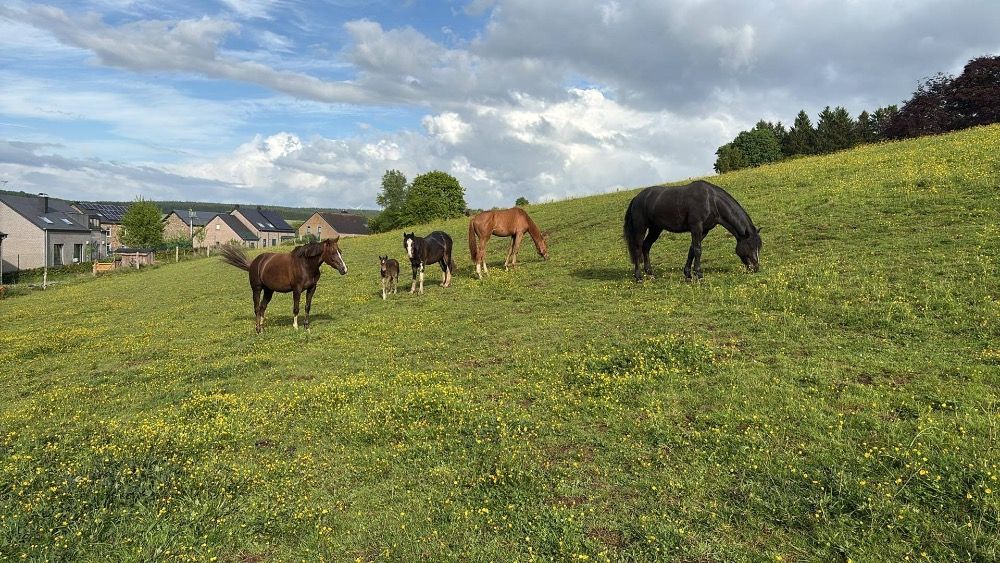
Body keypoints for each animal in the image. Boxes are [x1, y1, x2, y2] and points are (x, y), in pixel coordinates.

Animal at [219, 238, 347, 333]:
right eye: (332, 252)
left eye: (340, 251)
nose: (344, 269)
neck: (305, 264)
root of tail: (254, 263)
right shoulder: (297, 289)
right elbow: (296, 308)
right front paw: (295, 326)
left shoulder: (312, 288)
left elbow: (307, 307)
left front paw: (307, 327)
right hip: (256, 289)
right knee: (256, 308)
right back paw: (258, 329)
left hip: (268, 290)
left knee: (262, 307)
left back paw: (263, 328)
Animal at [623, 180, 761, 282]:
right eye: (751, 246)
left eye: (758, 247)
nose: (755, 268)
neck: (711, 201)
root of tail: (636, 198)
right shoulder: (696, 227)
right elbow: (698, 250)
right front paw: (699, 275)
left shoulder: (704, 231)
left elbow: (692, 250)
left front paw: (688, 275)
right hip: (641, 228)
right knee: (638, 248)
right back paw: (639, 277)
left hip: (656, 229)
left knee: (646, 247)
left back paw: (650, 274)